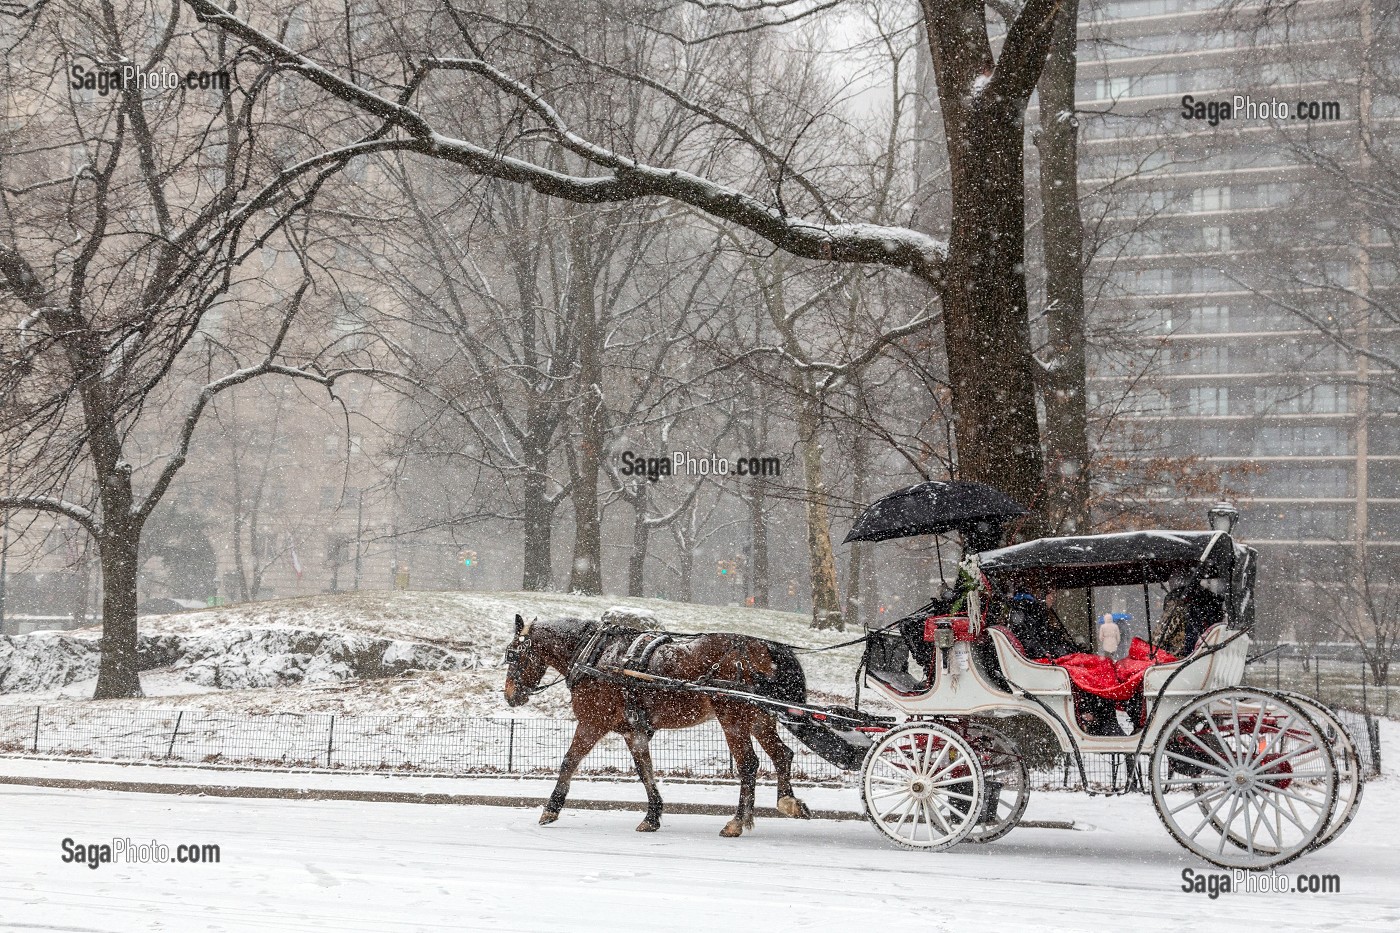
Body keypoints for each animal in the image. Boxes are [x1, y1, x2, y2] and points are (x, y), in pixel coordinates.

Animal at [504, 610, 817, 834]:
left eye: (513, 655)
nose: (509, 695)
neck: (595, 656)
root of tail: (764, 646)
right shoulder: (634, 731)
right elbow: (645, 771)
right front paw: (653, 815)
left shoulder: (592, 723)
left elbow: (569, 761)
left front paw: (551, 808)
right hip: (760, 717)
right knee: (782, 754)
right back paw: (788, 801)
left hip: (733, 717)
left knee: (749, 764)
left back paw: (737, 822)